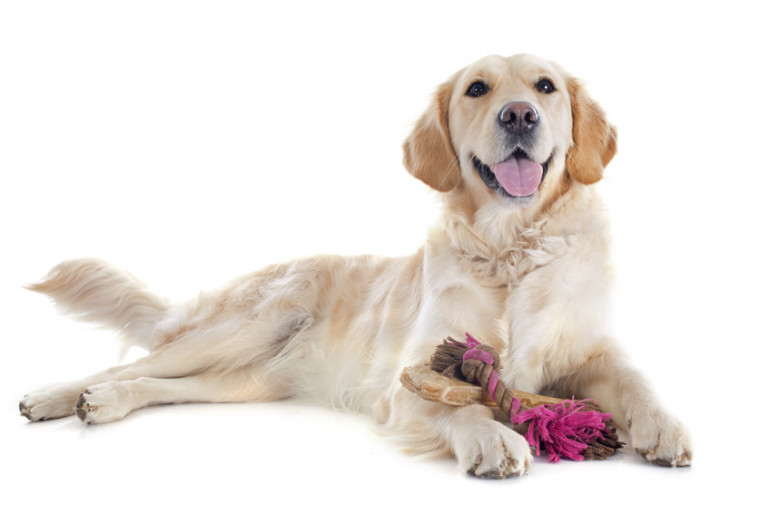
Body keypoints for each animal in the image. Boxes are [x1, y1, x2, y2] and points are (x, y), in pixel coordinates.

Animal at [18, 53, 688, 476]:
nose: (519, 114)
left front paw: (664, 428)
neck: (511, 247)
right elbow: (461, 405)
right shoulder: (411, 380)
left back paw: (104, 402)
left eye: (545, 86)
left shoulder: (589, 350)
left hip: (250, 379)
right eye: (477, 89)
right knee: (127, 364)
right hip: (243, 329)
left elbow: (636, 379)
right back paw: (58, 397)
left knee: (159, 384)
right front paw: (493, 438)